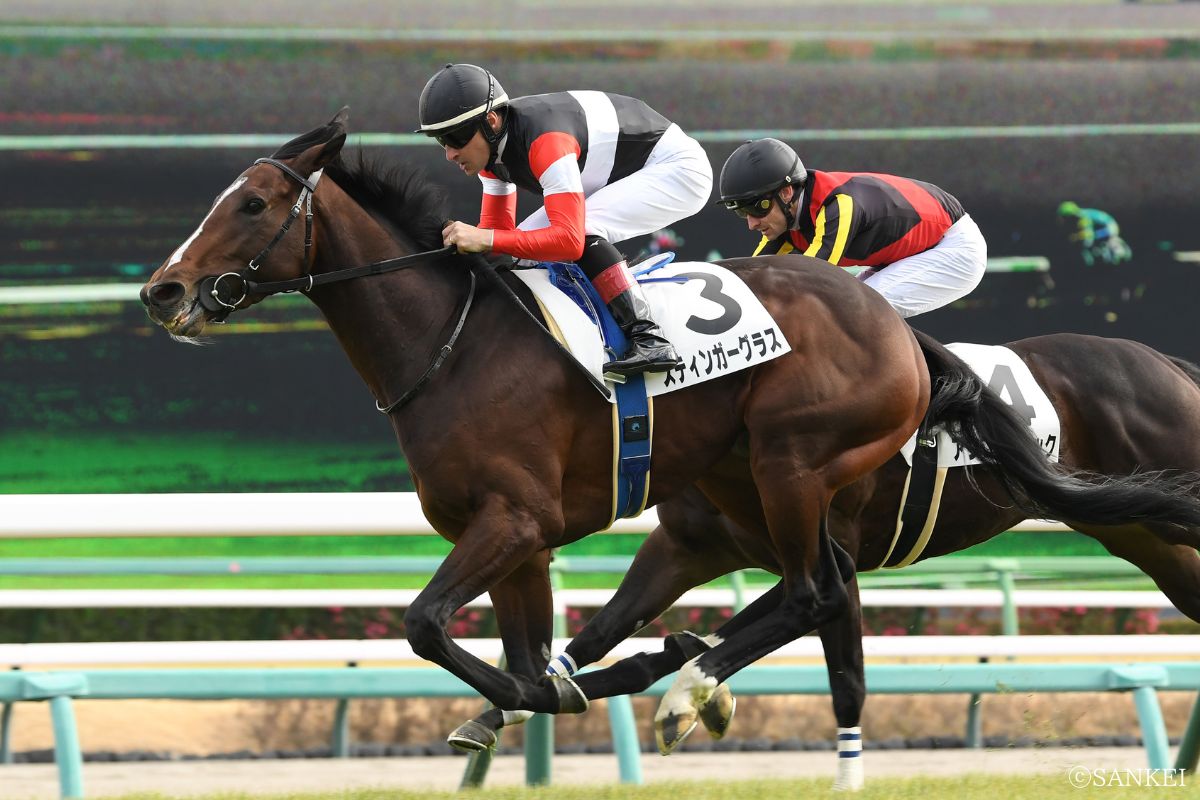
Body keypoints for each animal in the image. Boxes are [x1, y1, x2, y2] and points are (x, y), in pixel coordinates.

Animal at [139, 109, 1200, 753]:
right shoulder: (532, 543)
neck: (454, 347)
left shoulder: (517, 522)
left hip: (793, 463)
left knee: (813, 591)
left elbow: (428, 626)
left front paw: (658, 670)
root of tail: (899, 333)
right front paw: (577, 685)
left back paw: (689, 685)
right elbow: (528, 656)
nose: (164, 291)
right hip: (1125, 533)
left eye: (254, 203)